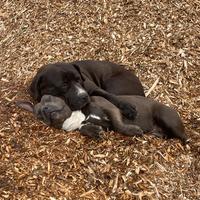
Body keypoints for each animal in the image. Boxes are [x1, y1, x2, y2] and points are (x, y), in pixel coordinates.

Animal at [16, 94, 188, 143]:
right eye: (39, 115)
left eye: (48, 98)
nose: (45, 110)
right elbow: (84, 128)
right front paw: (93, 131)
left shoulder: (111, 108)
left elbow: (118, 124)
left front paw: (131, 130)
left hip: (166, 118)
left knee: (184, 137)